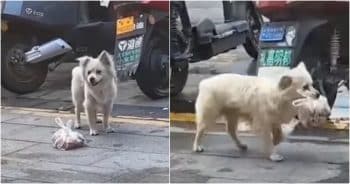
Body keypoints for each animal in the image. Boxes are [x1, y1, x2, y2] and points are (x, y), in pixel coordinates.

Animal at [193, 62, 322, 162]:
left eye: (312, 85)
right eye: (305, 87)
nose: (318, 94)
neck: (279, 94)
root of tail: (204, 82)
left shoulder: (274, 119)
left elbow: (278, 133)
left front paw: (277, 140)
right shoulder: (263, 122)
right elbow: (268, 139)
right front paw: (273, 154)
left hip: (233, 114)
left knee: (231, 131)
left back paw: (240, 145)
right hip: (209, 114)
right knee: (201, 129)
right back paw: (197, 146)